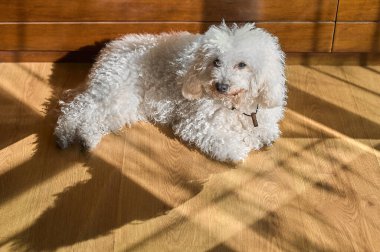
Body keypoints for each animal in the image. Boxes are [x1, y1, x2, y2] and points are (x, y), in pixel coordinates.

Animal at [55, 22, 284, 162]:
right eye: (216, 61)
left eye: (242, 65)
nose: (221, 86)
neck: (235, 104)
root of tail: (111, 47)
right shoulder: (194, 124)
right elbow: (222, 139)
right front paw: (235, 149)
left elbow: (265, 130)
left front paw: (258, 136)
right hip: (113, 91)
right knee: (77, 109)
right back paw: (64, 134)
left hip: (126, 104)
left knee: (94, 118)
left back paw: (86, 137)